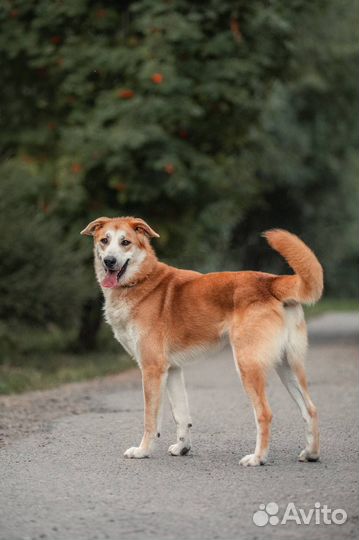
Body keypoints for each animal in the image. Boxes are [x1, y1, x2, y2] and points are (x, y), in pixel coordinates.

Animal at [81, 217, 324, 466]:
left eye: (125, 242)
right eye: (104, 240)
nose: (109, 261)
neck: (141, 280)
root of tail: (271, 281)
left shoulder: (152, 369)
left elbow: (151, 419)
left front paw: (142, 451)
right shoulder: (173, 370)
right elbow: (181, 415)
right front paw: (182, 448)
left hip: (248, 365)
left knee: (265, 414)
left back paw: (257, 458)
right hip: (288, 366)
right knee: (311, 409)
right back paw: (311, 453)